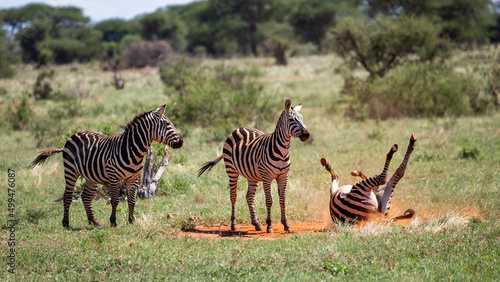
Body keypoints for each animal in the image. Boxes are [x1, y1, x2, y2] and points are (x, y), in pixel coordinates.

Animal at [27, 104, 184, 228]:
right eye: (168, 124)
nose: (182, 141)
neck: (132, 149)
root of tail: (73, 135)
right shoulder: (113, 177)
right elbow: (115, 200)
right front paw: (113, 222)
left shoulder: (133, 177)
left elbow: (132, 200)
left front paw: (132, 220)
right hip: (70, 170)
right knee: (68, 196)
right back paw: (66, 223)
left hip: (91, 176)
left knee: (86, 197)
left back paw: (94, 222)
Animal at [196, 98, 308, 232]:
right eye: (291, 119)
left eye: (302, 118)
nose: (307, 134)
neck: (282, 152)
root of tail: (239, 128)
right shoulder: (266, 177)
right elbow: (269, 201)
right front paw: (269, 225)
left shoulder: (283, 176)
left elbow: (282, 200)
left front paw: (286, 225)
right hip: (231, 171)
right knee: (233, 196)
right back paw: (233, 224)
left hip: (251, 175)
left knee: (249, 197)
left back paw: (256, 223)